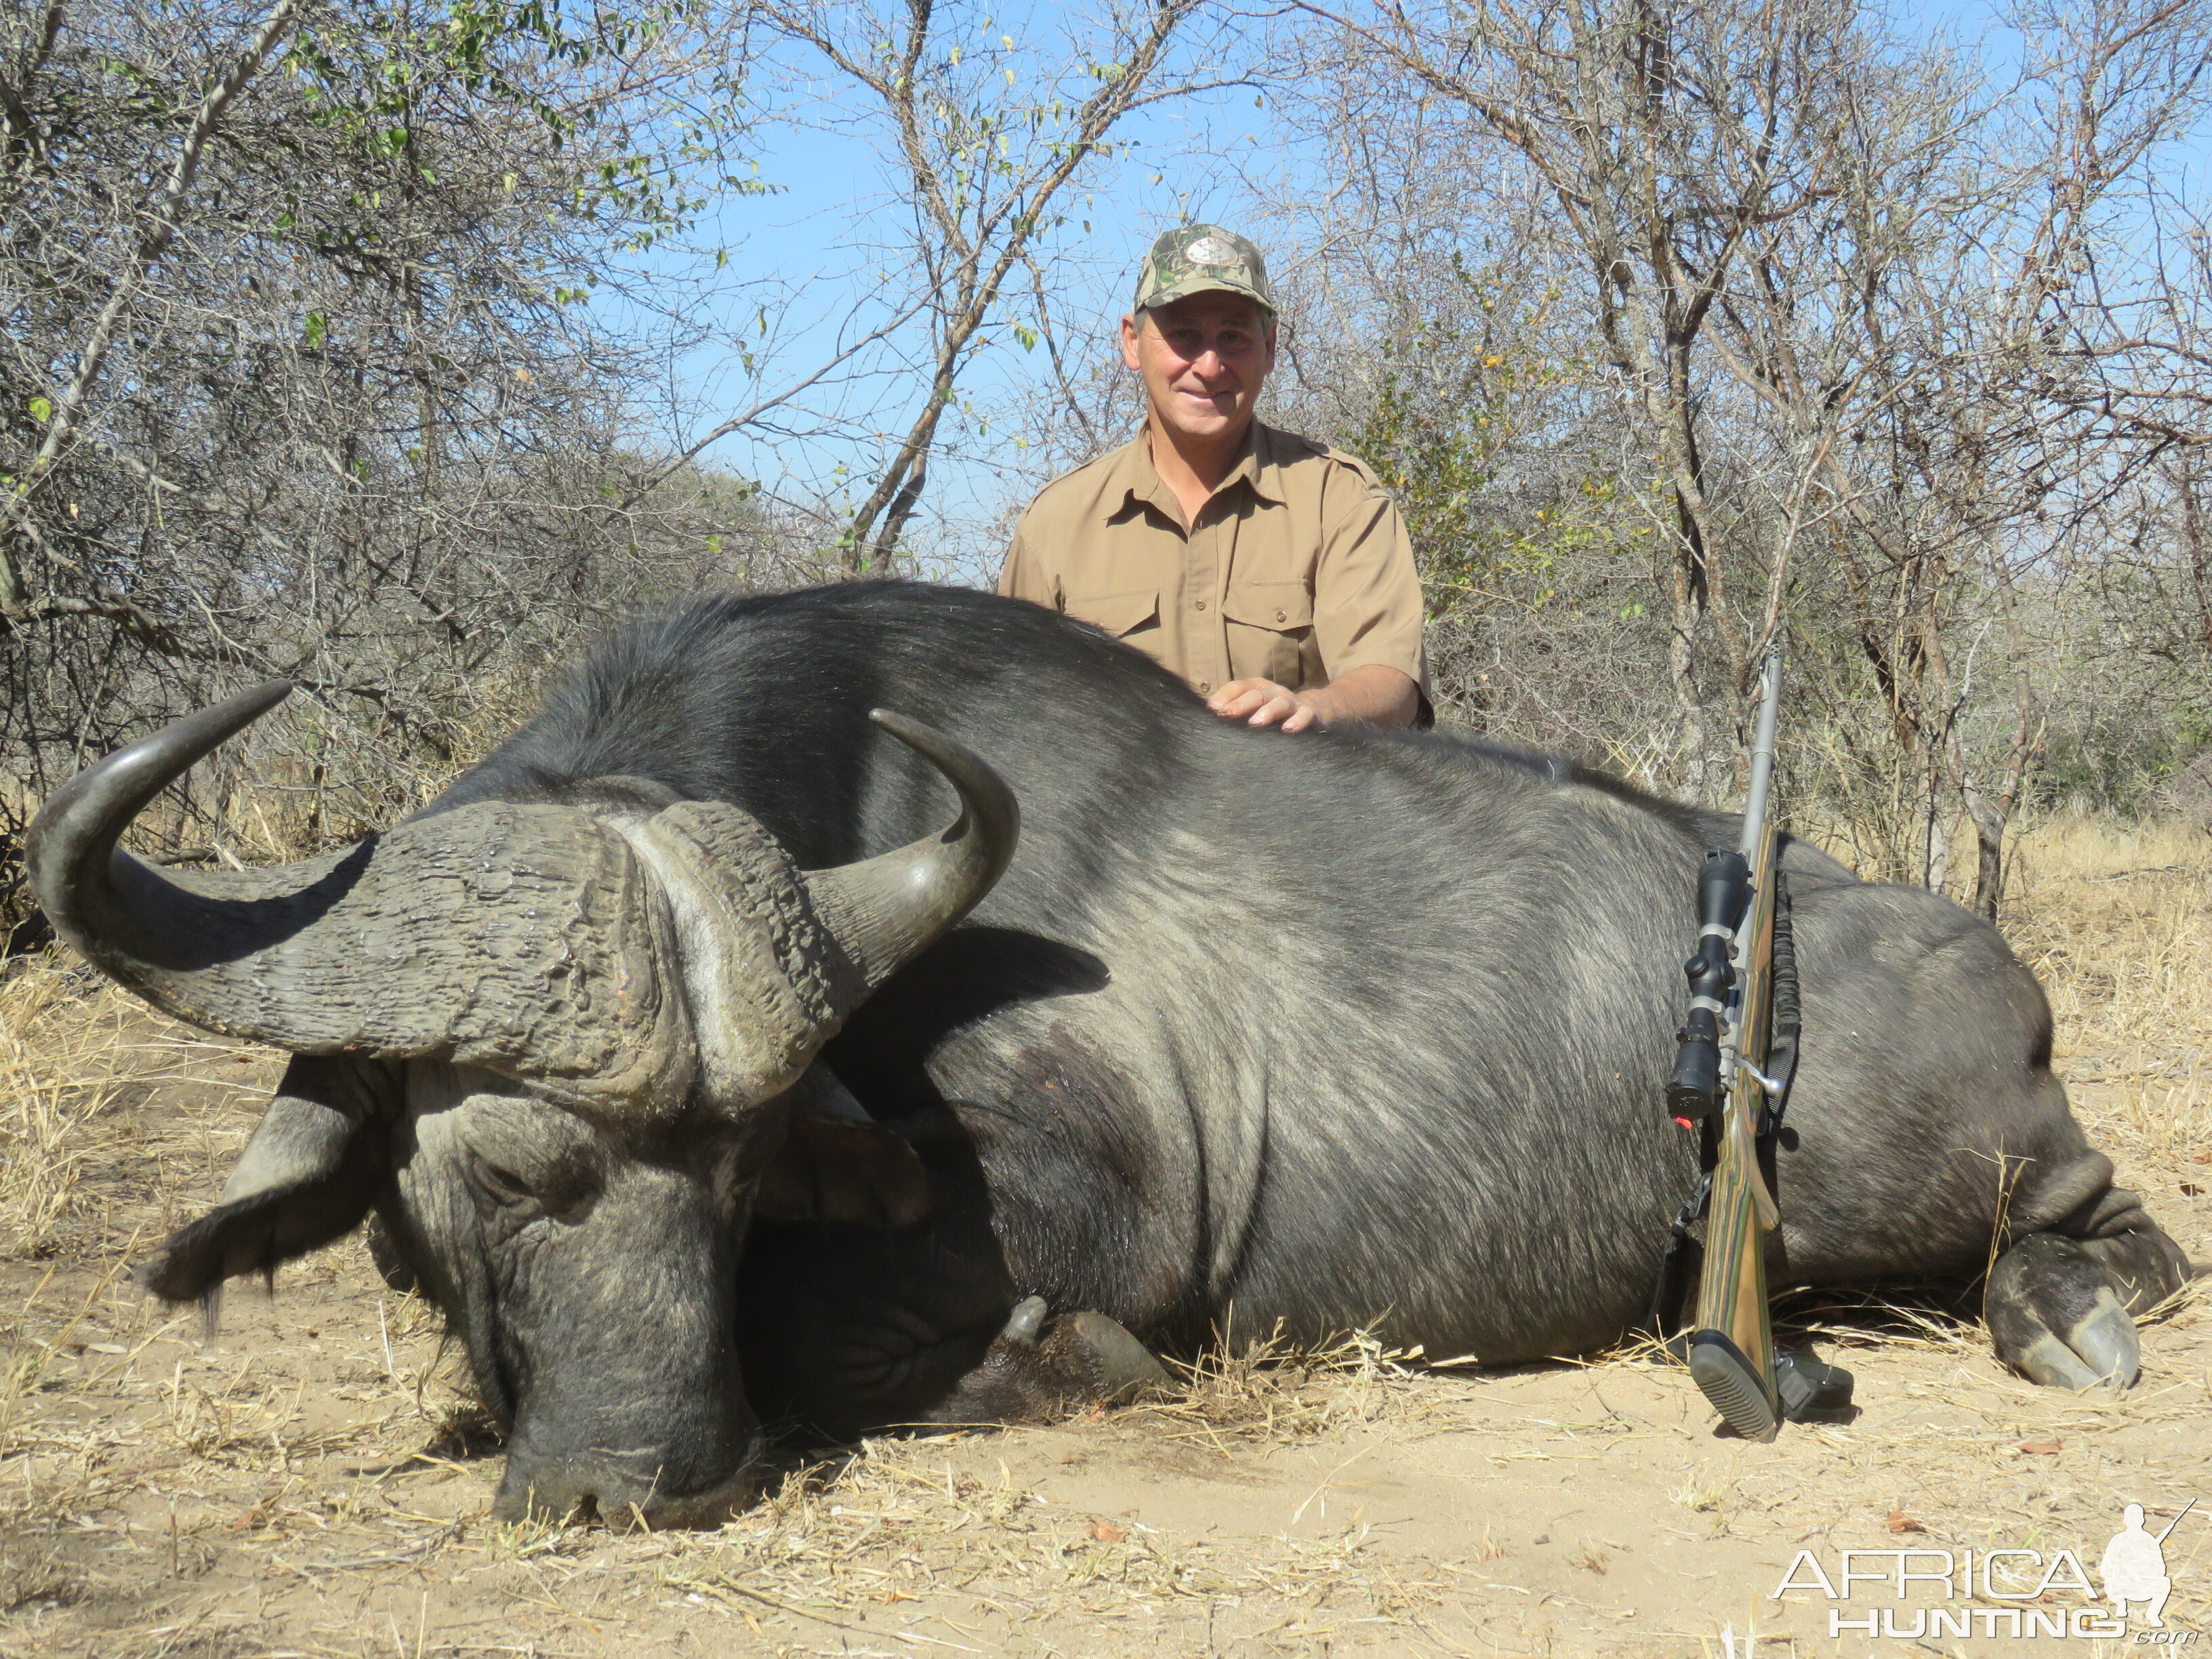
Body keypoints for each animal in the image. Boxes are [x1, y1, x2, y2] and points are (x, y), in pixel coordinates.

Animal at [21, 588, 2194, 1530]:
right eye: (491, 1175)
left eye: (742, 1173)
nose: (657, 1479)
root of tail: (1975, 948)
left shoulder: (1089, 1214)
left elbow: (948, 1333)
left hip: (1902, 1180)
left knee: (2107, 1225)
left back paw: (2072, 1313)